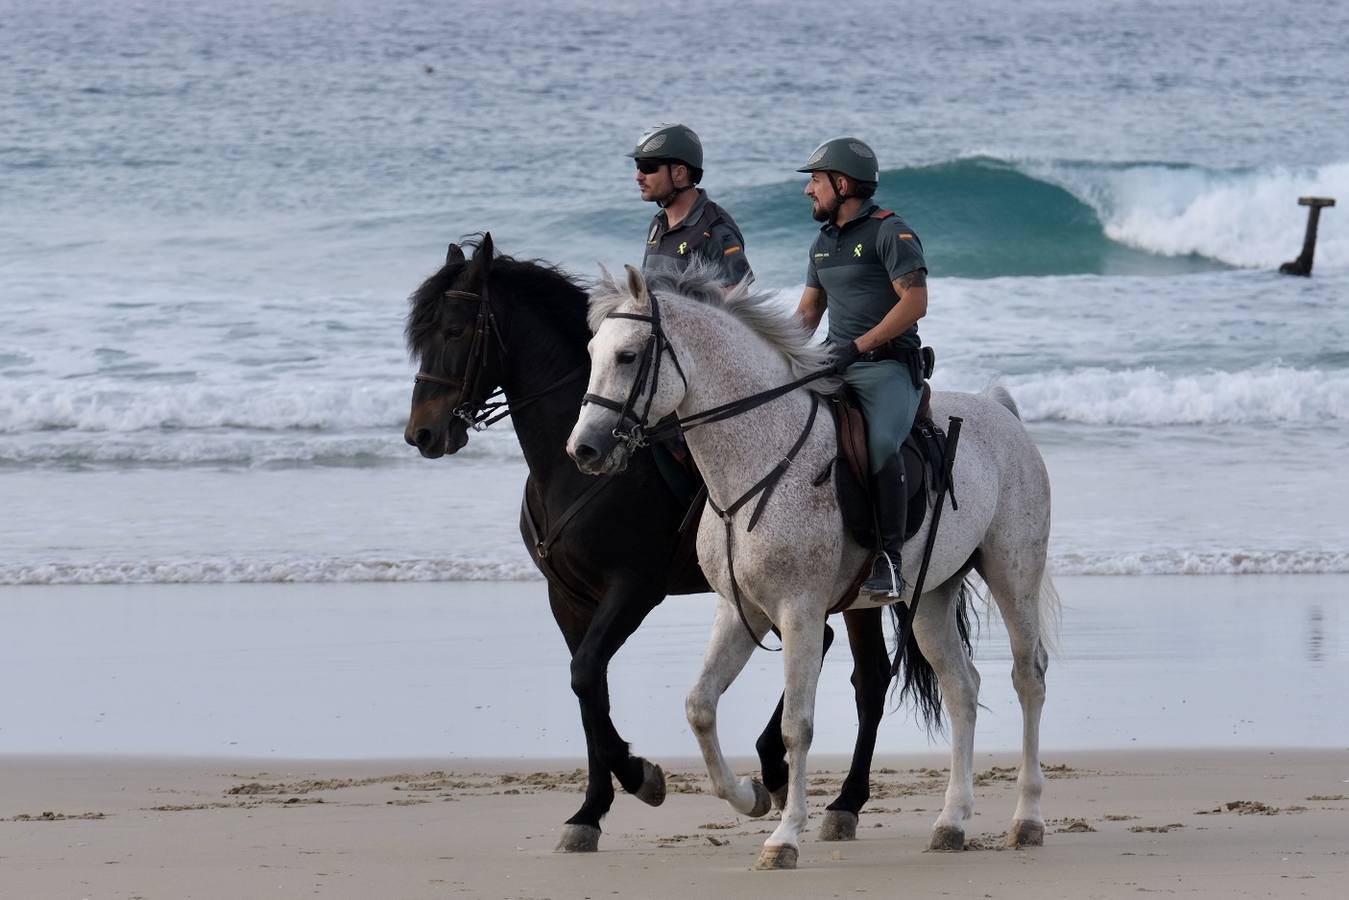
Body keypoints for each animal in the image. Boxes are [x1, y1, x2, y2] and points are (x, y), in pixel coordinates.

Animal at [403, 235, 943, 852]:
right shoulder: (567, 599)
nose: (422, 434)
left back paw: (838, 798)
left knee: (868, 679)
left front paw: (641, 778)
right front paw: (589, 811)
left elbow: (586, 674)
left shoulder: (634, 588)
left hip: (851, 589)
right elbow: (587, 689)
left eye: (454, 331)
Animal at [566, 264, 1059, 870]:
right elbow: (700, 706)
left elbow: (795, 727)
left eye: (629, 356)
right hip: (931, 597)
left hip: (1014, 575)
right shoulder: (741, 612)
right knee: (962, 686)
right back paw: (952, 821)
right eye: (592, 352)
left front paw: (785, 836)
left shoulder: (799, 613)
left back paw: (1027, 818)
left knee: (1028, 677)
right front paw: (750, 796)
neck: (761, 454)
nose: (583, 450)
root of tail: (1000, 409)